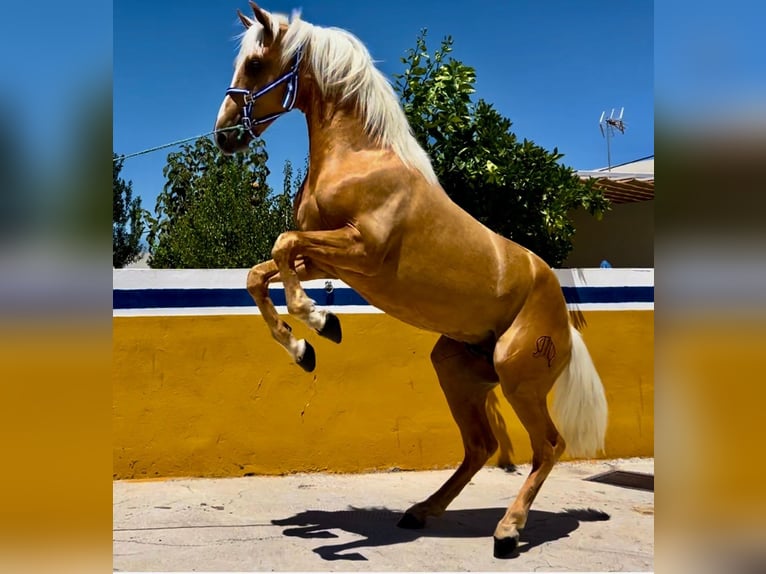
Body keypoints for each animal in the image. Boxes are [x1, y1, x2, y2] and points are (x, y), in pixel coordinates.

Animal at [213, 3, 608, 564]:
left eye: (253, 64)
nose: (223, 134)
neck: (360, 158)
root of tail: (561, 315)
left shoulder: (360, 250)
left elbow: (282, 247)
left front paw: (320, 322)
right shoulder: (330, 258)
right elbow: (261, 271)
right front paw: (305, 348)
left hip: (518, 377)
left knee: (548, 446)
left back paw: (508, 532)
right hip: (456, 371)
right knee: (480, 447)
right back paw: (421, 511)